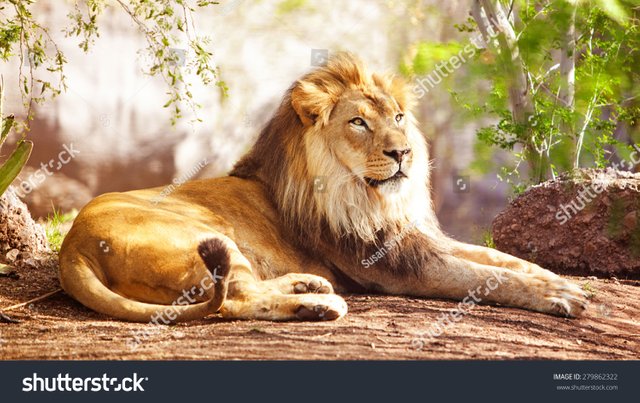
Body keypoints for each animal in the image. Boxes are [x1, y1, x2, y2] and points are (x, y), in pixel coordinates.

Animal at [57, 52, 588, 322]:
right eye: (358, 122)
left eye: (399, 118)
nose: (403, 153)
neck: (367, 196)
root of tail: (72, 247)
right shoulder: (395, 266)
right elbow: (480, 276)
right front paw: (559, 297)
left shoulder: (414, 238)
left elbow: (500, 259)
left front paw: (559, 281)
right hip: (203, 236)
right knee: (233, 300)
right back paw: (318, 305)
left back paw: (307, 285)